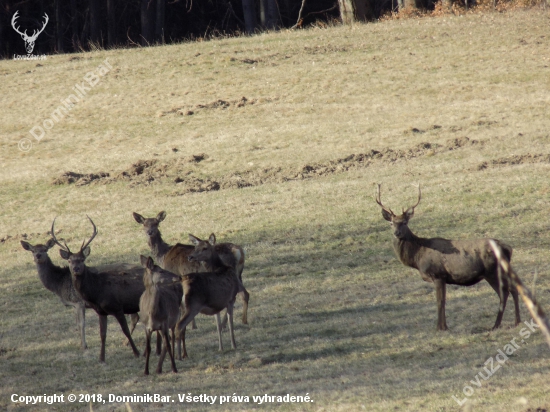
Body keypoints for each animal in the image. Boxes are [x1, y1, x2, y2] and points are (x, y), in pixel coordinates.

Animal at [51, 217, 144, 362]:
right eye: (69, 261)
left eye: (82, 259)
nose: (76, 269)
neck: (97, 290)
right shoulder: (101, 311)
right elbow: (102, 334)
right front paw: (101, 358)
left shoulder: (118, 307)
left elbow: (126, 330)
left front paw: (137, 353)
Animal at [376, 185, 520, 330]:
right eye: (391, 223)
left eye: (405, 222)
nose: (397, 233)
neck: (417, 257)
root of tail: (508, 248)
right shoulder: (442, 278)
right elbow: (442, 301)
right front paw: (443, 326)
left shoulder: (438, 274)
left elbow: (440, 301)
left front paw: (440, 327)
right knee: (513, 289)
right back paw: (514, 321)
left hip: (492, 272)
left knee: (505, 293)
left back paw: (498, 324)